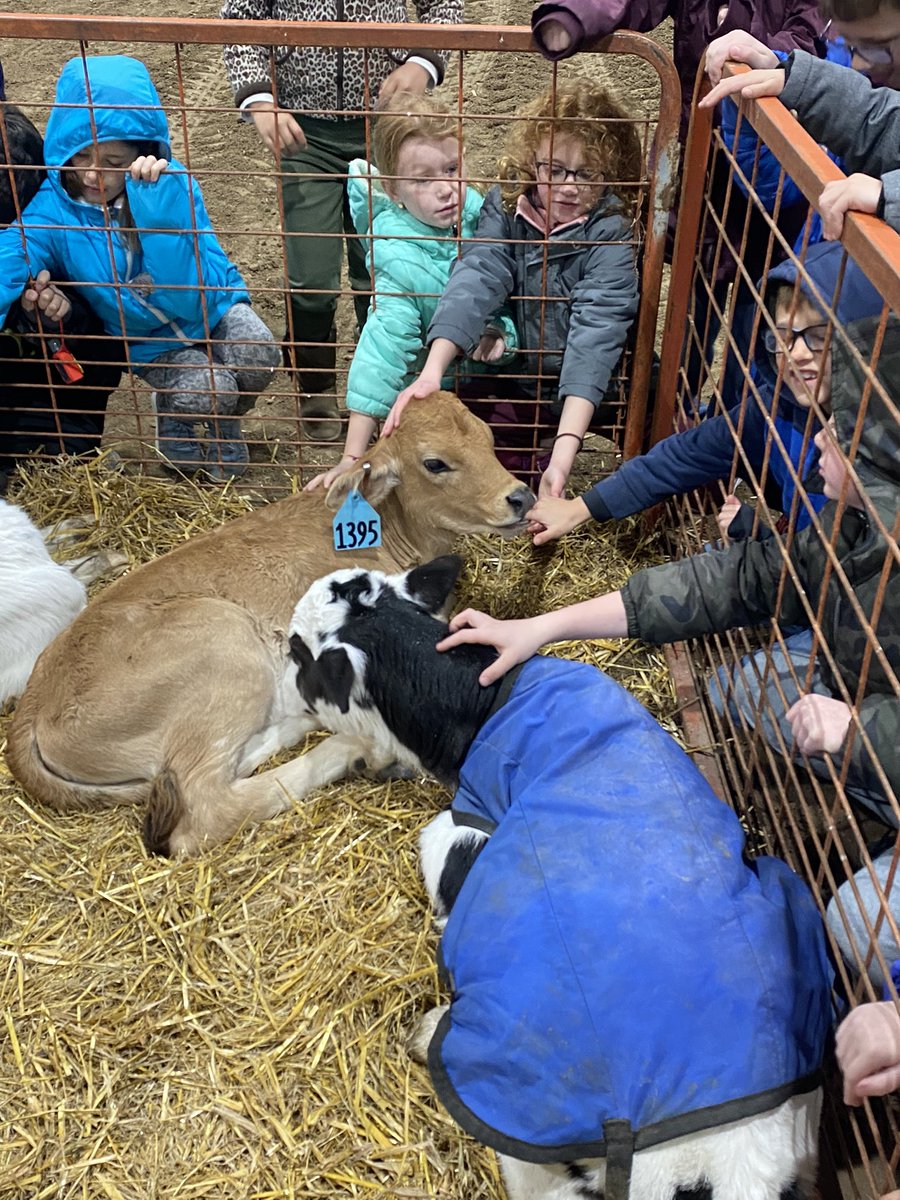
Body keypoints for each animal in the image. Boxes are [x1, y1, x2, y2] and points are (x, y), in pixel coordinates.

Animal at [5, 393, 534, 856]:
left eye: (488, 438)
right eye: (435, 463)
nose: (521, 497)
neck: (393, 534)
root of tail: (31, 706)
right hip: (224, 649)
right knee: (207, 808)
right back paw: (354, 750)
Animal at [286, 556, 833, 1200]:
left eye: (299, 653)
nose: (284, 675)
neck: (479, 702)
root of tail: (738, 1172)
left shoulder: (464, 827)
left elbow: (438, 849)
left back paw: (428, 1033)